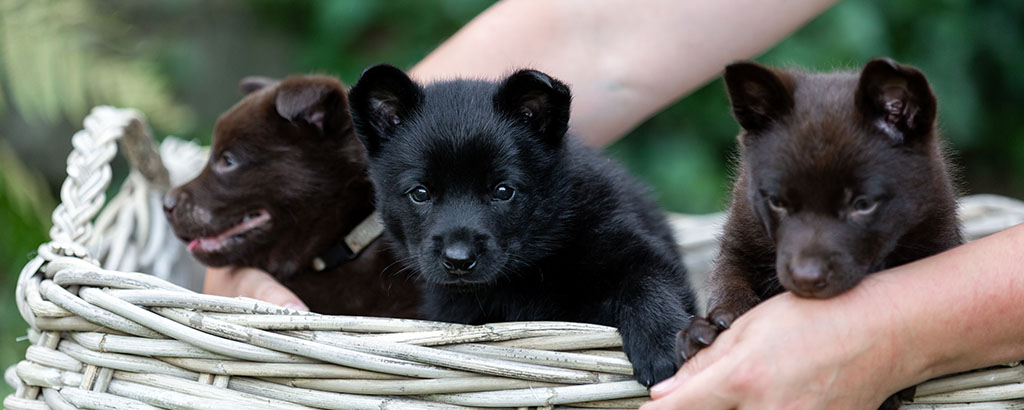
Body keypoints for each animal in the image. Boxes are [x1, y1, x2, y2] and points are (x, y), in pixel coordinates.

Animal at [350, 64, 696, 385]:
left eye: (503, 191)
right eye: (420, 193)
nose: (458, 260)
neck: (527, 274)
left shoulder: (629, 247)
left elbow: (648, 284)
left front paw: (663, 344)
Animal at [679, 57, 958, 410]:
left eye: (862, 204)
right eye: (777, 201)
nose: (806, 279)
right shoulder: (741, 238)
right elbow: (728, 277)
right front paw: (706, 328)